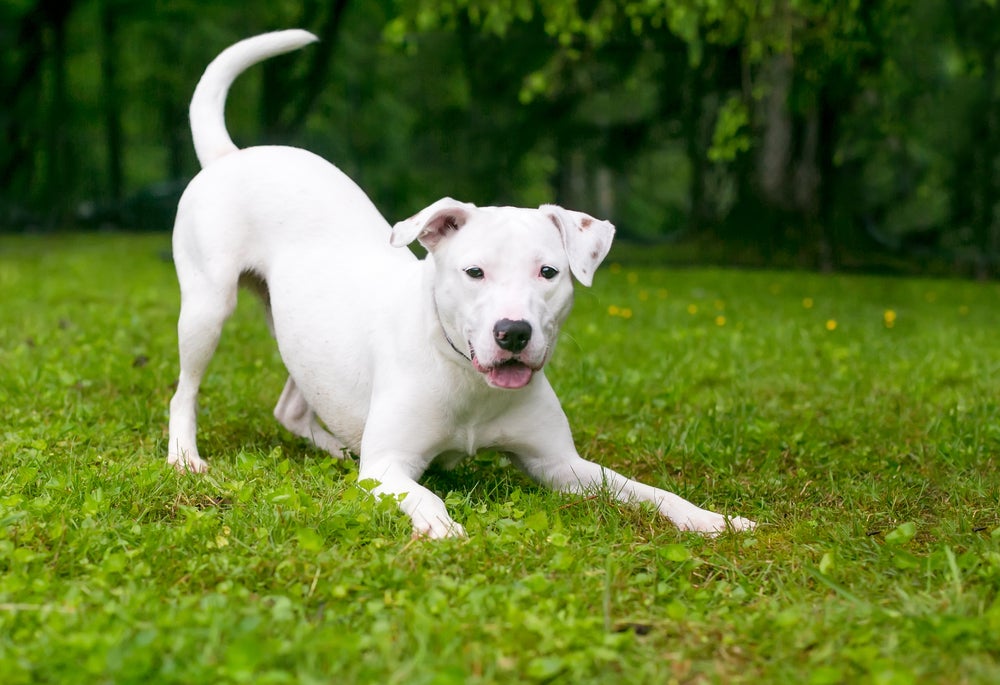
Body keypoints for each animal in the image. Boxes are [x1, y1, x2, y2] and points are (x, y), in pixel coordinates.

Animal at [168, 30, 752, 540]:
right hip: (207, 307)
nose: (513, 332)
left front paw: (712, 520)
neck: (465, 377)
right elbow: (423, 493)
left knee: (292, 405)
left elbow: (645, 490)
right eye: (475, 272)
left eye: (548, 272)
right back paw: (185, 457)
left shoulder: (562, 465)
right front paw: (440, 525)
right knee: (184, 392)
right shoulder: (390, 467)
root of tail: (231, 155)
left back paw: (335, 446)